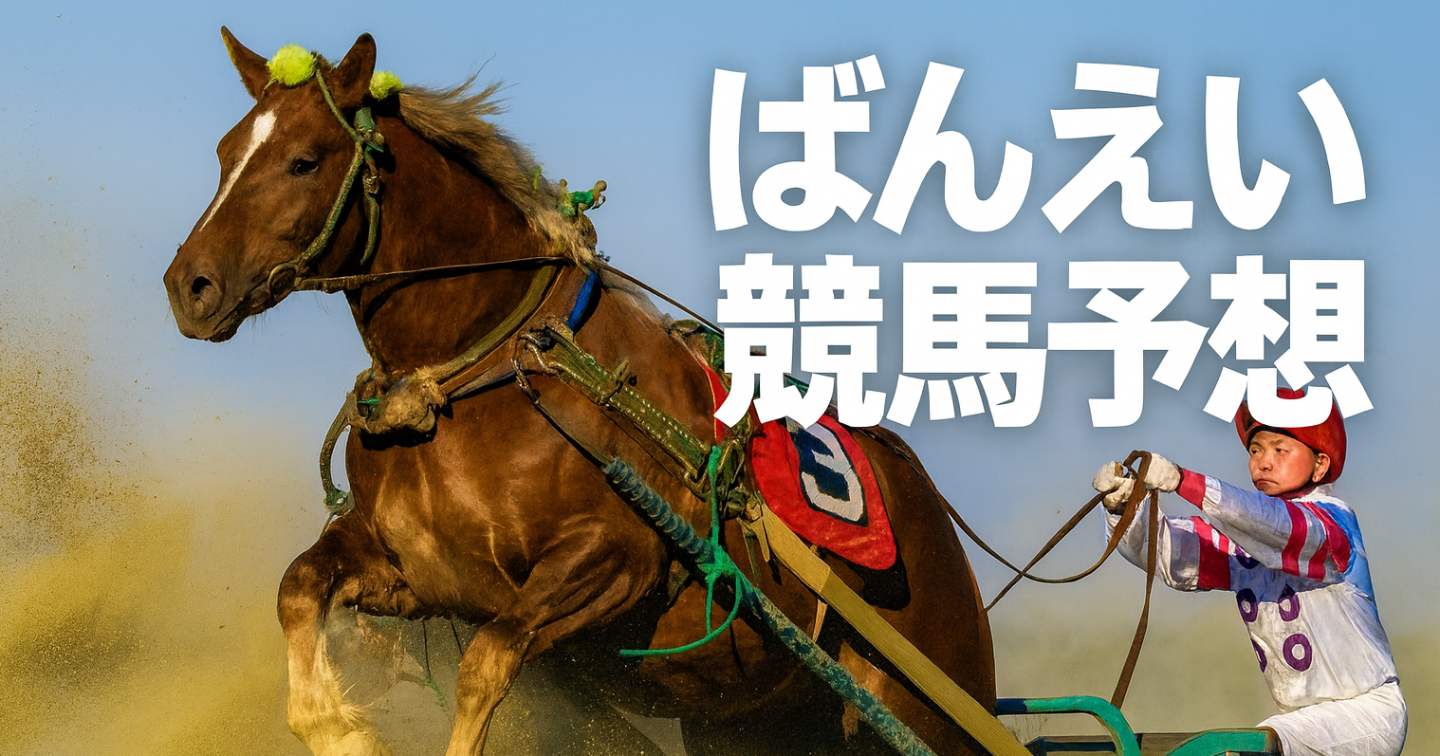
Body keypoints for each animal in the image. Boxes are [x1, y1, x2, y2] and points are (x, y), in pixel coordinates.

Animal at [164, 29, 995, 756]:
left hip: (925, 712)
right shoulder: (407, 569)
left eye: (304, 160)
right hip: (754, 723)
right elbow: (298, 590)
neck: (483, 367)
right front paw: (339, 727)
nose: (190, 285)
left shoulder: (613, 561)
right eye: (225, 152)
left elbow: (487, 663)